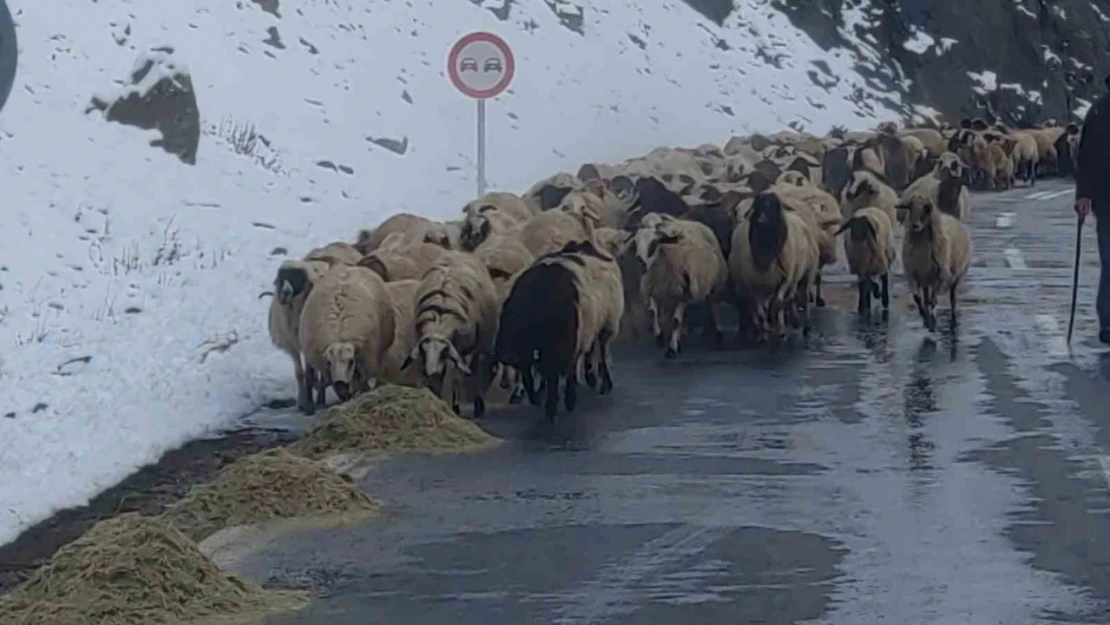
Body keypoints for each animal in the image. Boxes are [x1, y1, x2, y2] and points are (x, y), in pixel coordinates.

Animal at [297, 265, 397, 415]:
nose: (341, 383)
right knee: (309, 374)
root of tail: (348, 267)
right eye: (328, 362)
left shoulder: (364, 364)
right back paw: (309, 405)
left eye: (350, 361)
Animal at [901, 195, 972, 333]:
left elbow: (933, 301)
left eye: (926, 208)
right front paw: (924, 316)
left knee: (952, 298)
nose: (915, 225)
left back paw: (952, 316)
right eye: (910, 207)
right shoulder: (913, 275)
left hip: (955, 276)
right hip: (925, 279)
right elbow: (917, 298)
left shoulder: (939, 276)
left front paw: (932, 320)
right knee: (925, 297)